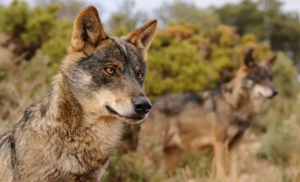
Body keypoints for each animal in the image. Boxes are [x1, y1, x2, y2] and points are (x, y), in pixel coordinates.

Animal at [137, 49, 278, 181]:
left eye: (271, 78)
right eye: (260, 77)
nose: (276, 92)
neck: (235, 105)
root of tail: (151, 104)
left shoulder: (235, 144)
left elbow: (234, 172)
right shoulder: (219, 142)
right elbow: (221, 171)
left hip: (170, 156)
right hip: (152, 151)